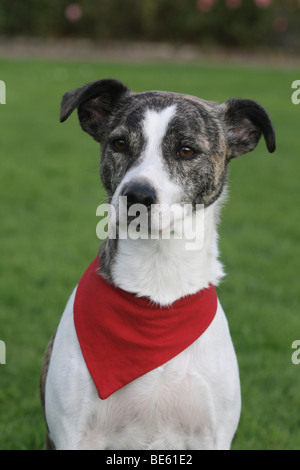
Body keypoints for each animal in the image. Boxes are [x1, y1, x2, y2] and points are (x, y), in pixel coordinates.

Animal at [40, 79, 276, 450]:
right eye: (119, 143)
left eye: (186, 150)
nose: (137, 195)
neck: (158, 279)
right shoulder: (74, 434)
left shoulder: (212, 434)